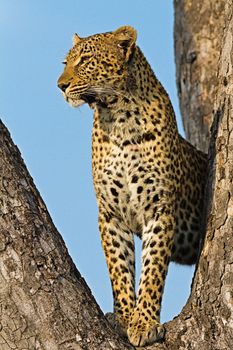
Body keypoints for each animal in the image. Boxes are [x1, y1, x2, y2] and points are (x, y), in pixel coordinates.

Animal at [57, 26, 207, 346]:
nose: (60, 86)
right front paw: (124, 317)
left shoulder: (159, 210)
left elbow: (152, 272)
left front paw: (144, 323)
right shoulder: (110, 214)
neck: (118, 118)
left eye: (85, 60)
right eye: (66, 63)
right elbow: (119, 269)